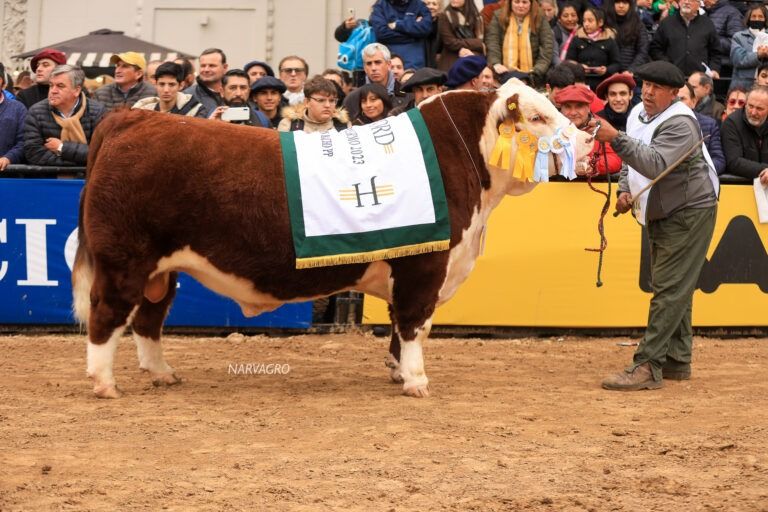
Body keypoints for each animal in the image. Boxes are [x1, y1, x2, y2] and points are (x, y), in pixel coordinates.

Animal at [73, 80, 592, 400]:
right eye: (539, 117)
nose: (587, 140)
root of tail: (130, 119)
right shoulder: (425, 265)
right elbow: (415, 324)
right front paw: (417, 381)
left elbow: (399, 326)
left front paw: (397, 371)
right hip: (125, 259)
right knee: (107, 314)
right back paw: (104, 383)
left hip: (163, 269)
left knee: (149, 318)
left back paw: (162, 374)